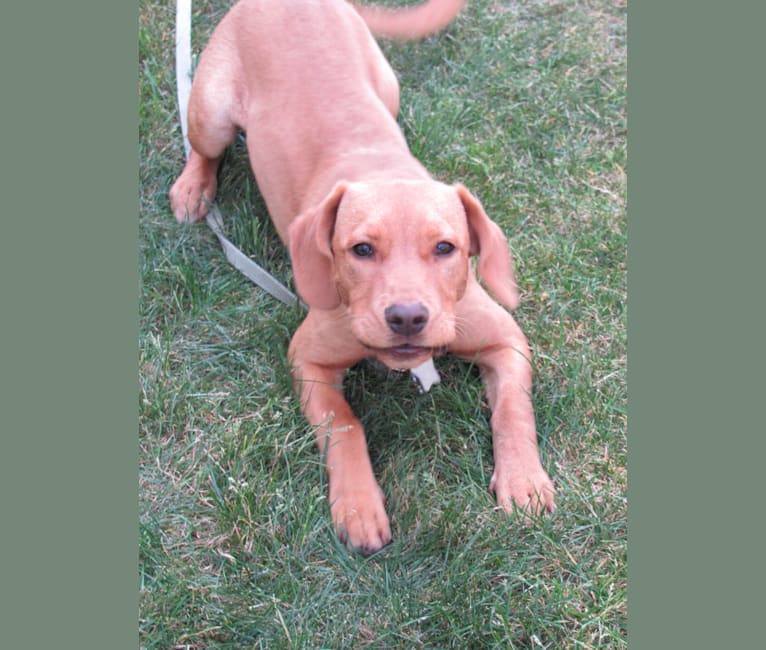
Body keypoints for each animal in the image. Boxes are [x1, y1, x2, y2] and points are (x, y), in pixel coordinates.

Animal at [171, 0, 556, 552]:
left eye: (446, 248)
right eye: (361, 250)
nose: (407, 317)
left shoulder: (506, 340)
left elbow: (512, 411)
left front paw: (523, 478)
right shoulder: (307, 359)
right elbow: (346, 424)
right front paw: (358, 505)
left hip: (386, 84)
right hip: (212, 111)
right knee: (202, 148)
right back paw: (192, 187)